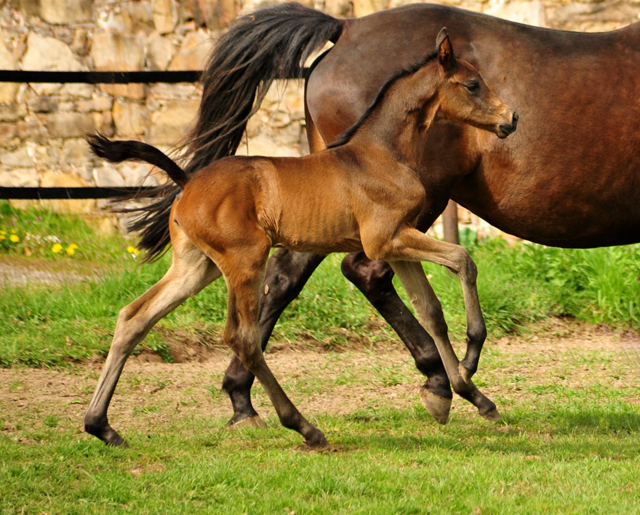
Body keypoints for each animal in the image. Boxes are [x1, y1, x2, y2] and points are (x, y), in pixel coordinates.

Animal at [85, 31, 516, 448]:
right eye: (473, 84)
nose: (511, 118)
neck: (382, 153)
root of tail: (188, 183)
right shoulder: (385, 240)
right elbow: (462, 259)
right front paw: (471, 358)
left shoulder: (398, 245)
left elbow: (431, 310)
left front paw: (470, 395)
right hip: (246, 260)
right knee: (243, 338)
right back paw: (305, 428)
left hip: (196, 267)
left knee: (134, 317)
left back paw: (101, 426)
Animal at [121, 4, 640, 430]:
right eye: (472, 85)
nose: (512, 118)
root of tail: (344, 27)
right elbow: (455, 268)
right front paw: (467, 362)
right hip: (402, 208)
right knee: (359, 272)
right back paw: (442, 381)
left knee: (290, 278)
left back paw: (244, 399)